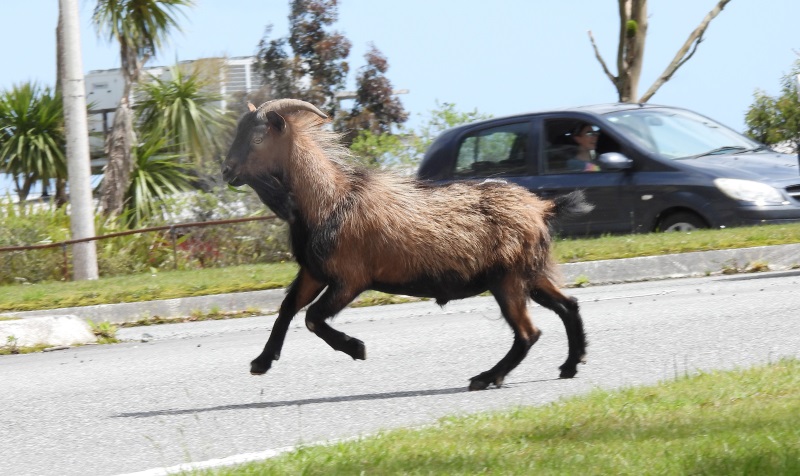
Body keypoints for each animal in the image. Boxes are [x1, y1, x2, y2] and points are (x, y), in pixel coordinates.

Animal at [222, 97, 592, 390]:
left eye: (257, 138)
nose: (227, 171)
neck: (328, 200)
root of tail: (542, 207)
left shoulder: (350, 278)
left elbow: (313, 317)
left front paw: (356, 347)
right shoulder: (314, 271)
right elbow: (287, 308)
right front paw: (261, 362)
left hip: (509, 279)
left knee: (529, 332)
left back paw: (486, 378)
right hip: (531, 273)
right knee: (568, 305)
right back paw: (570, 365)